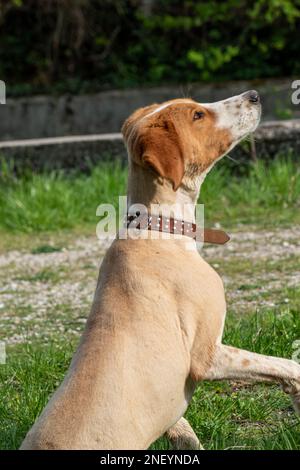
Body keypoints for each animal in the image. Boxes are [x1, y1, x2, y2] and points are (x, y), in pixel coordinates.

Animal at [20, 90, 300, 450]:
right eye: (197, 115)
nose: (254, 95)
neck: (160, 228)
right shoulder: (206, 356)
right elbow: (287, 365)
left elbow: (185, 431)